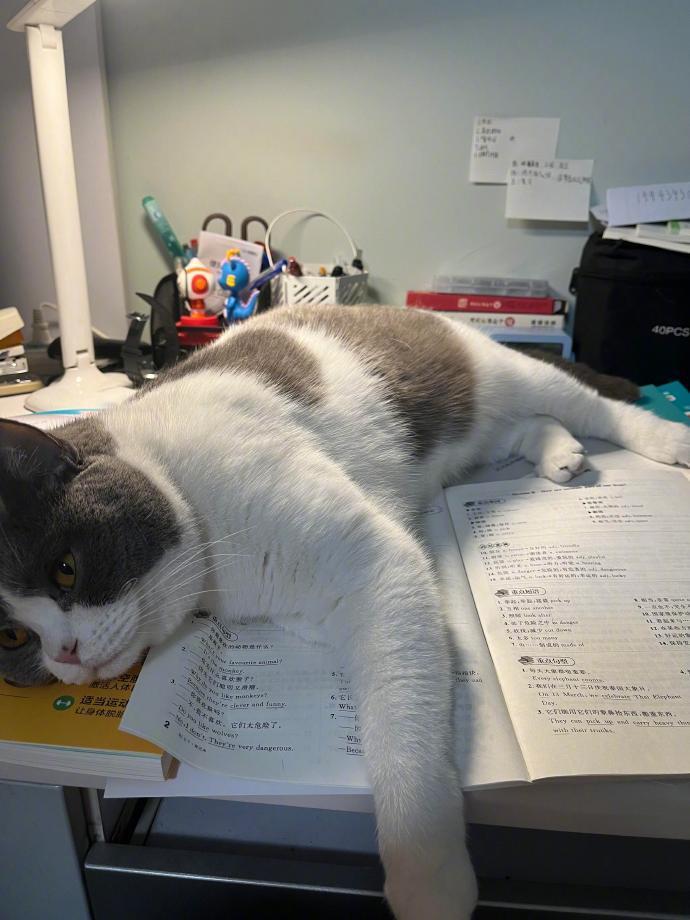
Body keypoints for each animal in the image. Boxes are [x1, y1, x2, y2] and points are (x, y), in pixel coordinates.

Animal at [1, 304, 688, 920]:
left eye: (65, 568)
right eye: (13, 638)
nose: (65, 654)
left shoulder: (376, 564)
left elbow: (399, 720)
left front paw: (426, 874)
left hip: (492, 371)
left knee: (586, 402)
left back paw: (666, 437)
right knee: (516, 429)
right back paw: (558, 451)